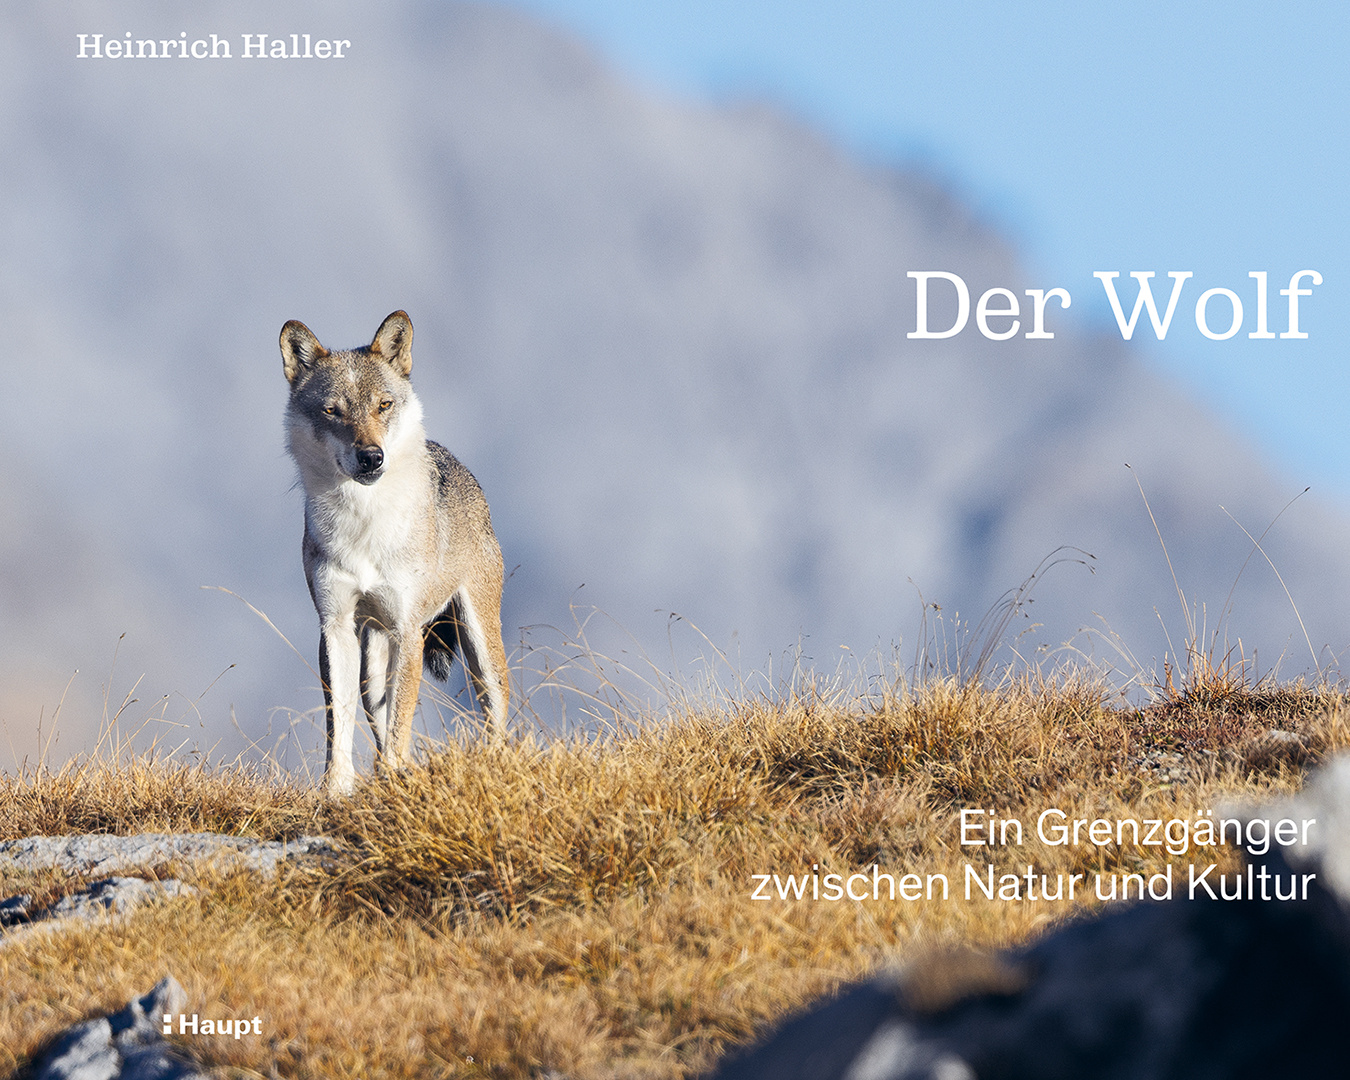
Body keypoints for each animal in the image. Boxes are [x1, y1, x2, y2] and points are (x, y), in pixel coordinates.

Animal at [281, 310, 508, 795]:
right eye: (332, 411)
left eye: (383, 405)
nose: (371, 457)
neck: (364, 523)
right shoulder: (335, 626)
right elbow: (339, 723)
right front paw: (336, 790)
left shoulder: (408, 631)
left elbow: (403, 718)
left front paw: (393, 777)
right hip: (372, 655)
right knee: (376, 713)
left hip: (478, 642)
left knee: (497, 711)